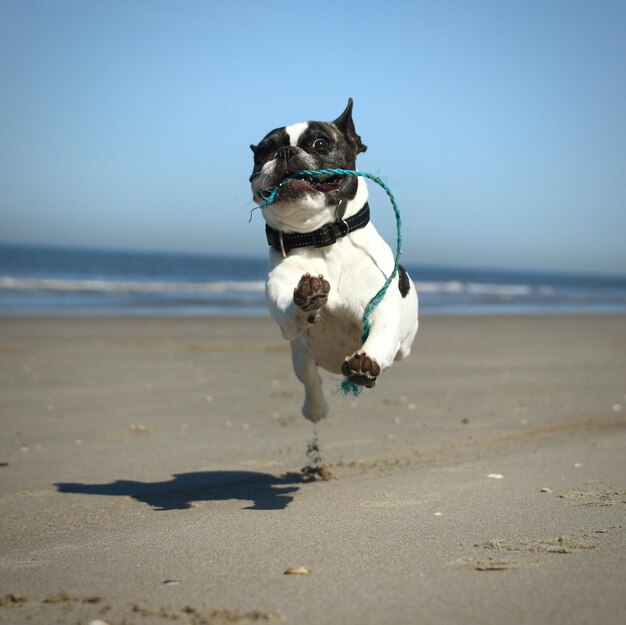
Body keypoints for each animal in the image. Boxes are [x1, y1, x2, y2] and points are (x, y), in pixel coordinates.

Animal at [247, 100, 414, 422]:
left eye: (320, 143)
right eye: (263, 153)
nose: (285, 152)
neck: (322, 238)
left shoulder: (382, 305)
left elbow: (382, 331)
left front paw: (366, 361)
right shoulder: (281, 298)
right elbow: (289, 309)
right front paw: (307, 297)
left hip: (404, 345)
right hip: (301, 358)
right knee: (312, 381)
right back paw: (315, 410)